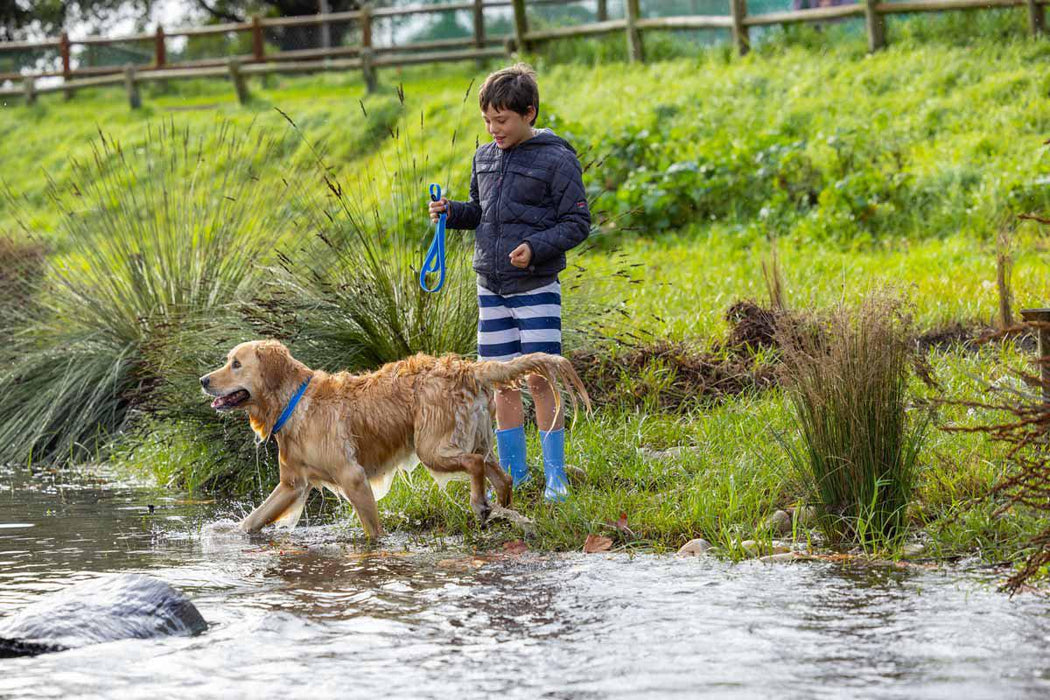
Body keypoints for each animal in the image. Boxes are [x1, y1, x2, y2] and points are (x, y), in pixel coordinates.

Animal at [198, 342, 592, 541]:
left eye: (236, 364)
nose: (203, 380)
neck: (294, 401)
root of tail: (466, 367)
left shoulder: (353, 478)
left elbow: (373, 531)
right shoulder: (292, 484)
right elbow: (254, 519)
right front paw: (229, 532)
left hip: (431, 446)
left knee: (474, 464)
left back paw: (481, 504)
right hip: (473, 436)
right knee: (500, 471)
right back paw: (501, 509)